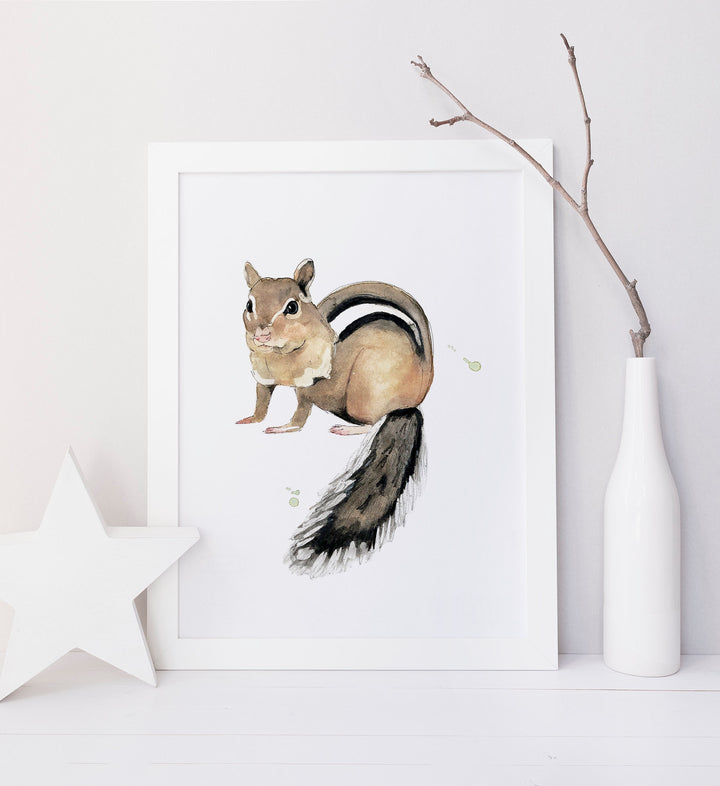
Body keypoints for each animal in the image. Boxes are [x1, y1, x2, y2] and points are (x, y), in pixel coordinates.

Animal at [237, 258, 434, 577]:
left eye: (292, 307)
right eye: (249, 304)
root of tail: (417, 394)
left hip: (364, 392)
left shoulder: (308, 389)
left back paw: (348, 428)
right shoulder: (262, 381)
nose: (262, 334)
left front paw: (284, 427)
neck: (278, 358)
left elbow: (300, 416)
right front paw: (251, 419)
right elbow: (261, 403)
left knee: (371, 423)